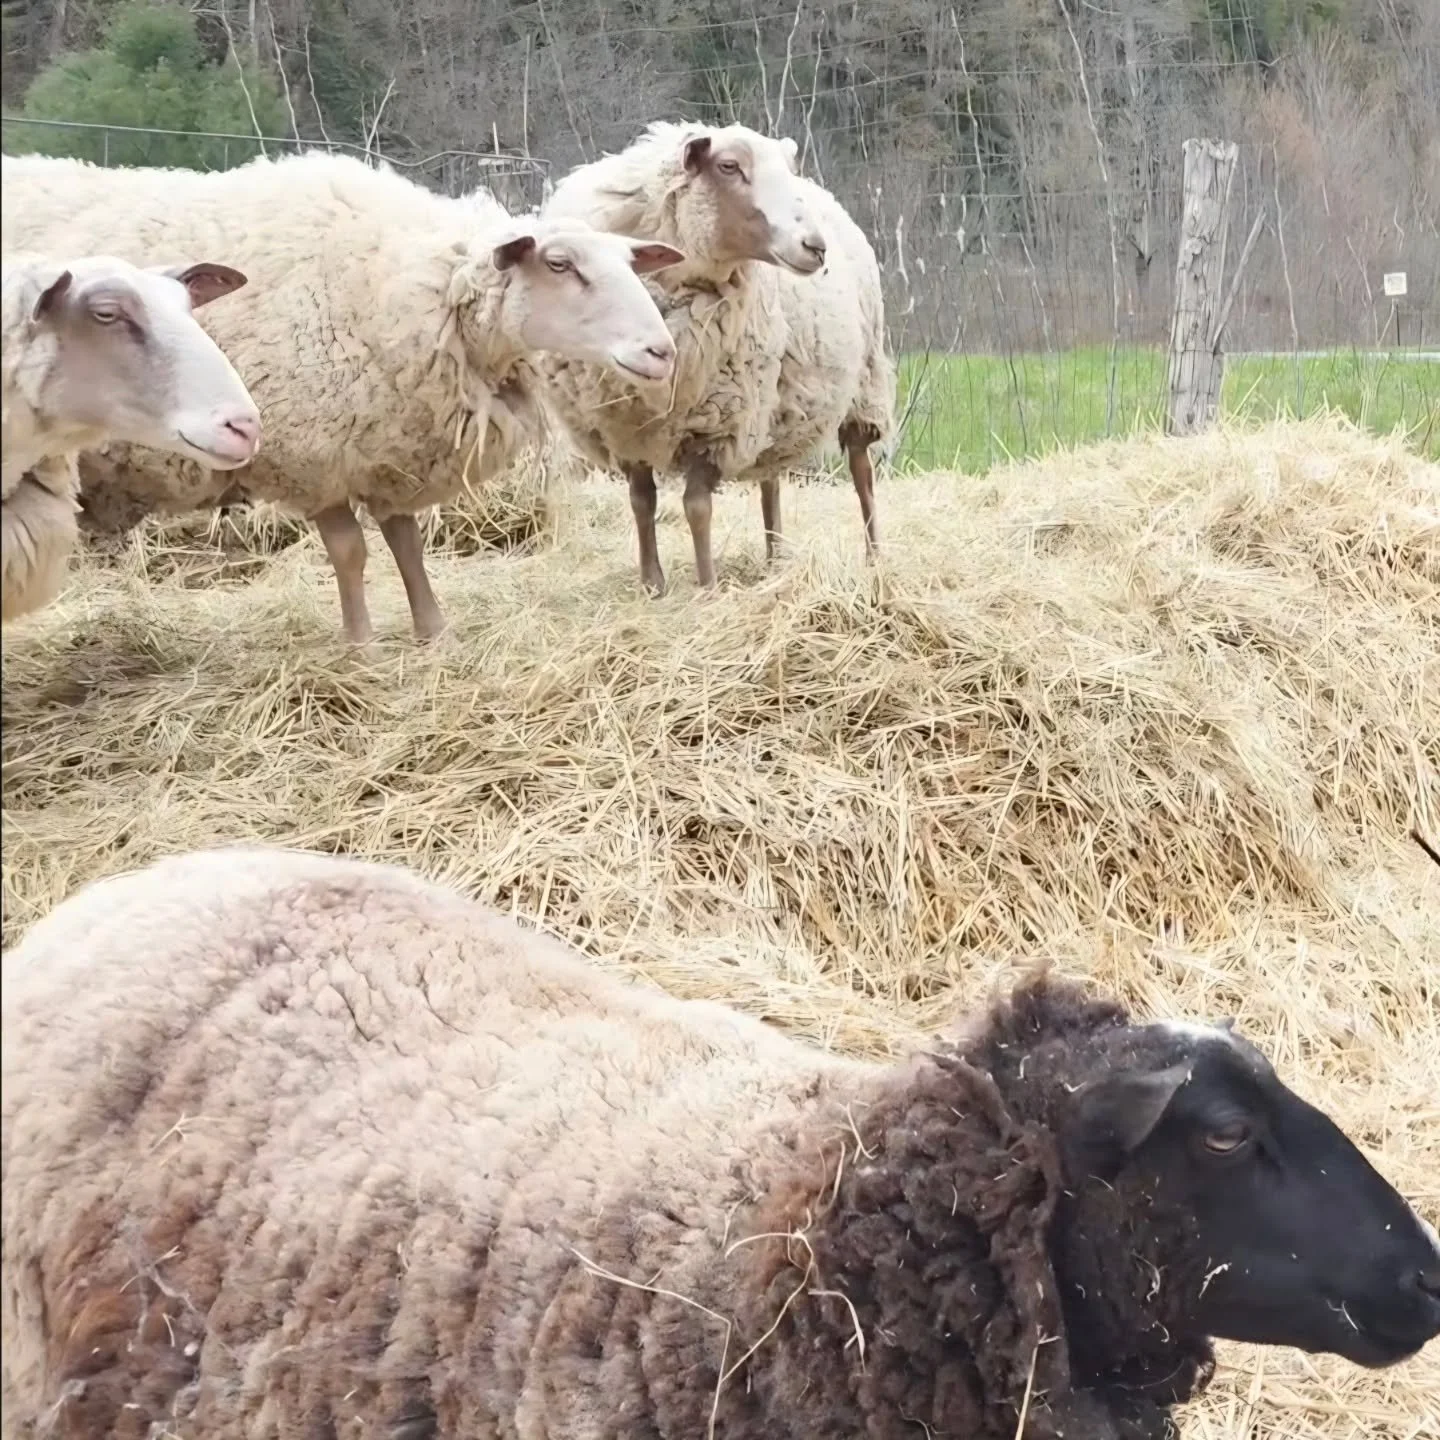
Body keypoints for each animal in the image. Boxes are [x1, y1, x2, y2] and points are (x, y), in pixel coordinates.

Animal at [537, 121, 895, 594]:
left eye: (787, 168)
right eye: (729, 167)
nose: (815, 247)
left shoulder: (716, 423)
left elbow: (696, 507)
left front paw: (706, 585)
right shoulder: (623, 425)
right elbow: (640, 501)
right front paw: (652, 584)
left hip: (862, 386)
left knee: (862, 474)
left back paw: (874, 559)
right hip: (773, 400)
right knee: (769, 478)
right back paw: (774, 558)